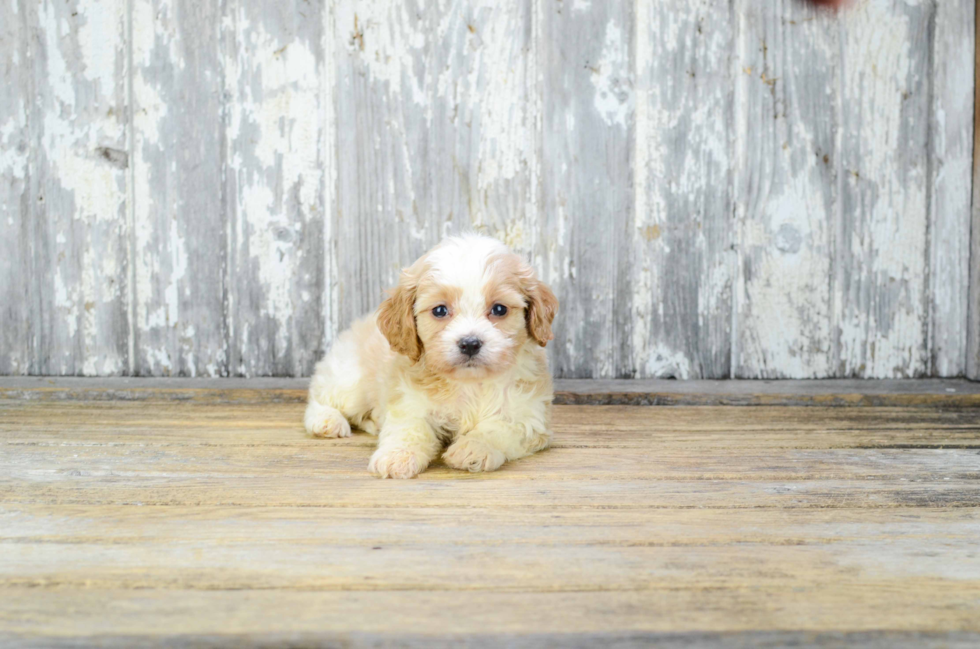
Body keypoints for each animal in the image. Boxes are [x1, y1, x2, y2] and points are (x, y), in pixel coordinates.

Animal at [304, 235, 560, 478]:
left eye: (499, 309)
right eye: (440, 310)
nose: (470, 344)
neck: (469, 384)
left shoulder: (528, 414)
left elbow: (499, 428)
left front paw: (473, 448)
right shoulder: (409, 401)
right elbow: (409, 429)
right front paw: (397, 456)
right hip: (350, 380)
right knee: (320, 398)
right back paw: (327, 420)